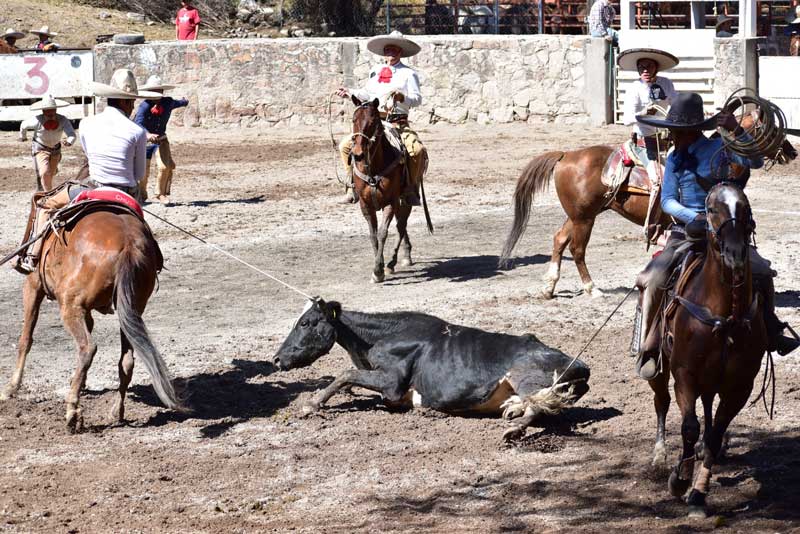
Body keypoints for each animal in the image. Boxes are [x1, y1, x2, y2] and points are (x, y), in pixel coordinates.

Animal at [0, 203, 182, 434]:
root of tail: (129, 245)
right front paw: (80, 382)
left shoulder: (33, 286)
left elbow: (25, 339)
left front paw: (10, 388)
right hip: (130, 309)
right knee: (126, 361)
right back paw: (116, 411)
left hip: (70, 305)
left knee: (87, 348)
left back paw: (73, 413)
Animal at [272, 300, 592, 442]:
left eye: (305, 322)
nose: (276, 359)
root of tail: (581, 365)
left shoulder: (392, 386)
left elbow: (344, 374)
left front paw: (312, 404)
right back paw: (512, 409)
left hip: (523, 374)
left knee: (538, 405)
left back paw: (514, 426)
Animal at [348, 98, 432, 286]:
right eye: (353, 119)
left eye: (373, 121)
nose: (357, 154)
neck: (373, 168)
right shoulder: (365, 205)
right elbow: (373, 235)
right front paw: (377, 266)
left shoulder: (391, 203)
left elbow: (382, 233)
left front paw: (378, 270)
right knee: (401, 225)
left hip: (406, 198)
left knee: (401, 226)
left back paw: (394, 261)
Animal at [500, 129, 792, 300]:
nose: (791, 150)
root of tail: (565, 155)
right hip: (584, 218)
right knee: (577, 249)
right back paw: (592, 289)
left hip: (579, 215)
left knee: (560, 239)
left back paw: (549, 288)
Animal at [648, 184, 764, 520]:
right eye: (711, 209)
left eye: (745, 206)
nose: (735, 253)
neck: (723, 313)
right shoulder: (684, 375)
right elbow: (689, 427)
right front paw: (679, 480)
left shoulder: (740, 386)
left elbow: (712, 434)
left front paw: (698, 493)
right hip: (658, 367)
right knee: (661, 401)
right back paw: (659, 455)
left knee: (709, 408)